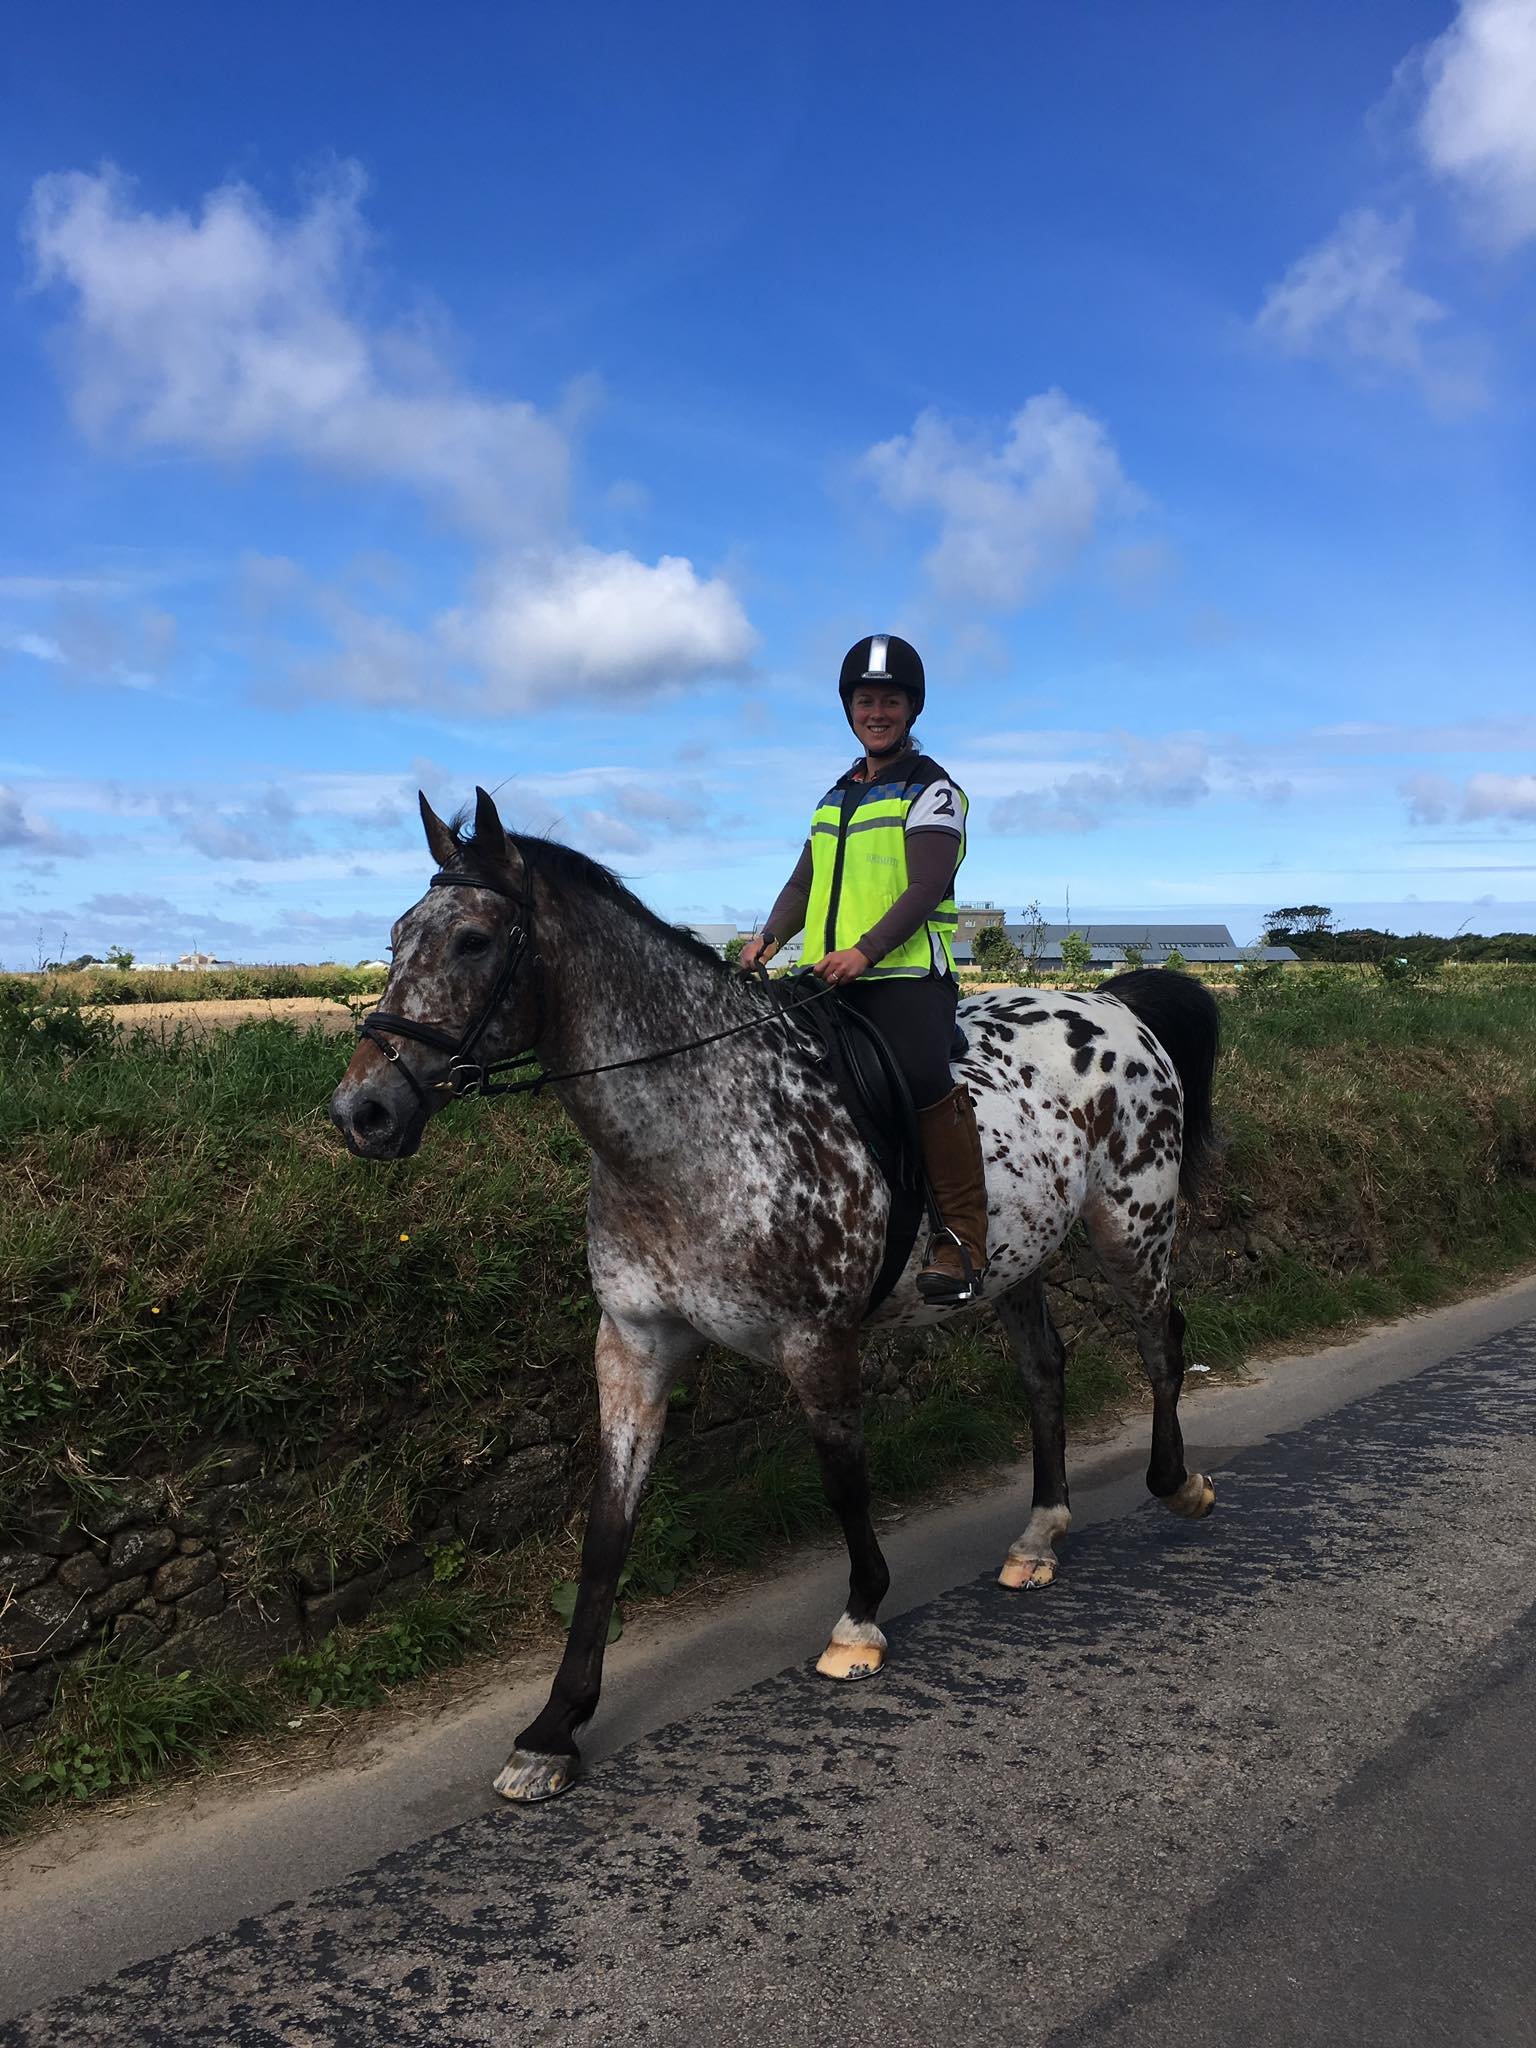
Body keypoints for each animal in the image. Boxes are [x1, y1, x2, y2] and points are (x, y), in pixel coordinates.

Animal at [330, 788, 1221, 1803]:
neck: (696, 1130)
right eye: (396, 937)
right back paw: (1039, 1535)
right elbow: (606, 1530)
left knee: (1160, 1337)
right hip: (1015, 1261)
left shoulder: (816, 1340)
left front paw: (859, 1620)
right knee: (1045, 1368)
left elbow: (842, 1477)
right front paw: (554, 1728)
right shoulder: (633, 1344)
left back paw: (1178, 1484)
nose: (361, 1113)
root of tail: (1114, 1004)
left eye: (474, 941)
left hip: (1131, 1229)